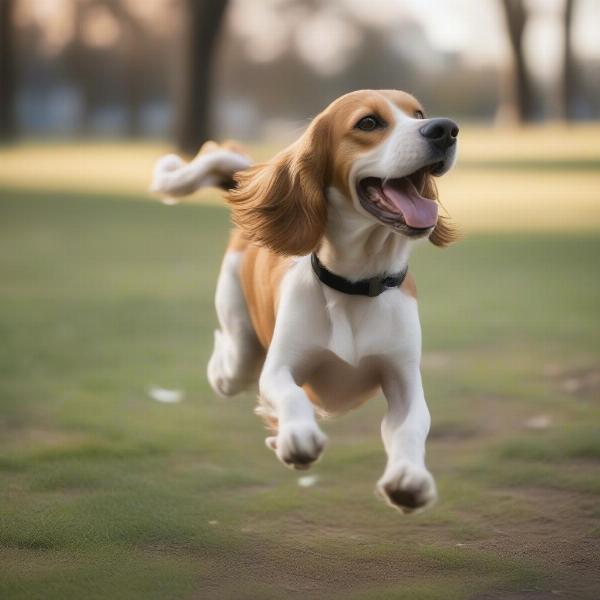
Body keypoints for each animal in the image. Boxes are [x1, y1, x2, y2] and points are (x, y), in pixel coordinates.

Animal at [151, 89, 460, 510]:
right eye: (368, 123)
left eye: (419, 114)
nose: (445, 129)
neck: (355, 286)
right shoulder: (280, 368)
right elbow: (288, 393)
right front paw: (299, 436)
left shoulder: (403, 380)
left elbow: (413, 423)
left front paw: (409, 479)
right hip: (241, 352)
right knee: (227, 366)